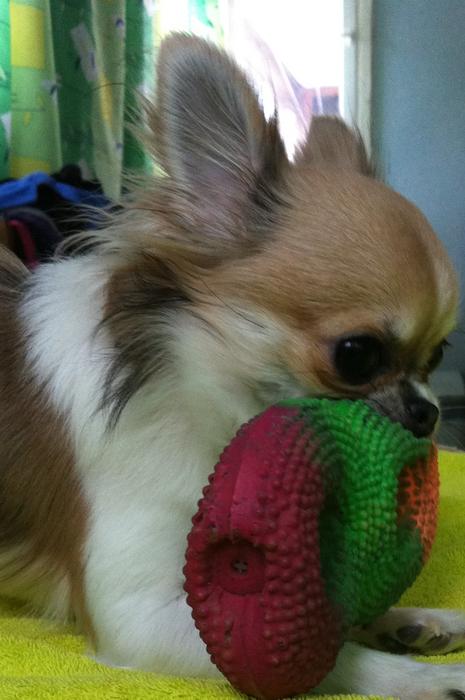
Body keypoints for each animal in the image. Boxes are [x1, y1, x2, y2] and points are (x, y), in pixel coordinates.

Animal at [0, 33, 464, 699]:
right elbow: (318, 654)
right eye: (356, 355)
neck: (209, 411)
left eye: (440, 354)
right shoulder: (140, 614)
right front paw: (419, 678)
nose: (427, 413)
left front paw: (416, 622)